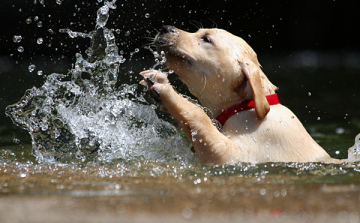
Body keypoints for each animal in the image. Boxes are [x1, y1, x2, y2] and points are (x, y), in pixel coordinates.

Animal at [139, 26, 344, 165]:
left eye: (206, 39)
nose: (165, 28)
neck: (246, 106)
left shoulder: (234, 156)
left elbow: (200, 116)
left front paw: (164, 88)